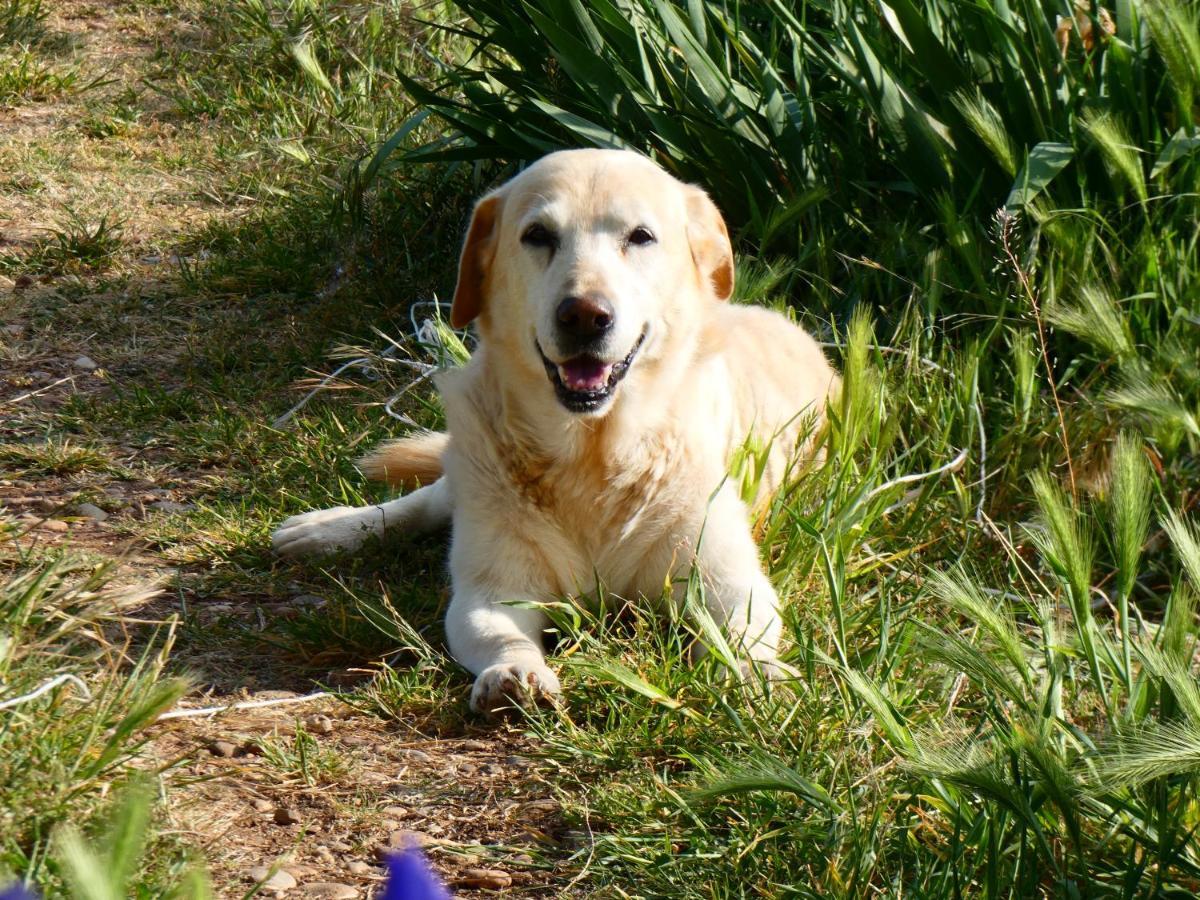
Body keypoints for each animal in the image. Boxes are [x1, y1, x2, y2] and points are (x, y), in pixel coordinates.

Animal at [273, 148, 840, 715]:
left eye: (640, 236)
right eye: (538, 235)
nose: (584, 315)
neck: (593, 456)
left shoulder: (726, 580)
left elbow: (739, 633)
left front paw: (756, 675)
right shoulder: (490, 590)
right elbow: (500, 633)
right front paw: (513, 672)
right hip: (470, 475)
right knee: (427, 501)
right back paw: (328, 530)